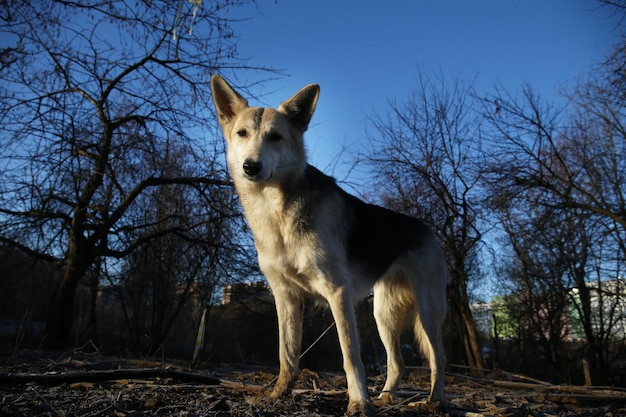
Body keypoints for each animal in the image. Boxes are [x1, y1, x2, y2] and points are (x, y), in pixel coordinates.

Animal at [212, 75, 446, 416]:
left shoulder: (337, 293)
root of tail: (426, 228)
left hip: (427, 311)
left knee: (438, 358)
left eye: (275, 137)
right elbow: (286, 355)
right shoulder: (286, 296)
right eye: (242, 133)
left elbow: (350, 357)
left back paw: (436, 400)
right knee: (398, 363)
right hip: (383, 314)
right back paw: (386, 397)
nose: (250, 167)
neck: (276, 211)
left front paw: (358, 402)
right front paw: (278, 395)